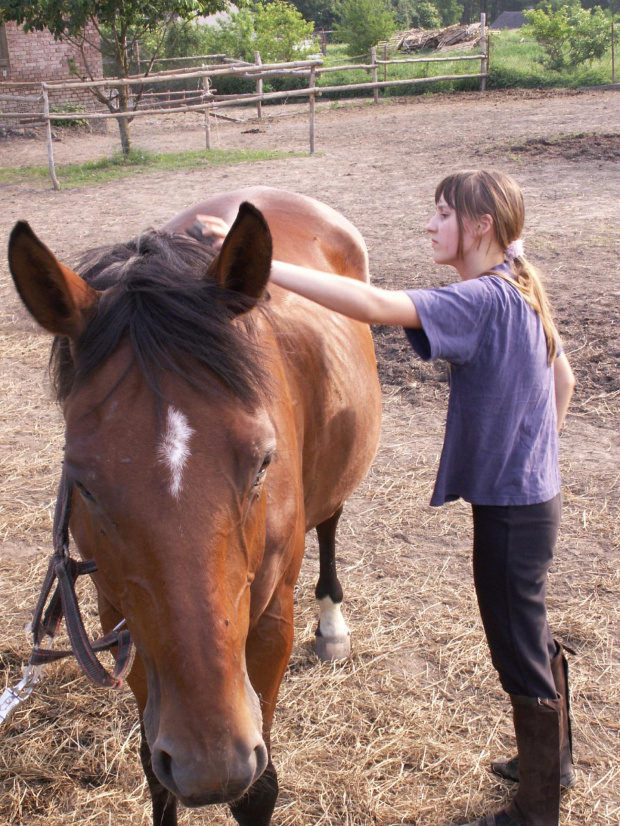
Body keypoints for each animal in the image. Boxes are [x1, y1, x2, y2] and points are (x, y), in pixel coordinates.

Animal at [7, 188, 380, 824]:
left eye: (263, 461)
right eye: (82, 482)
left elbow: (257, 790)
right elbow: (156, 777)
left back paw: (332, 625)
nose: (210, 764)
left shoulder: (269, 623)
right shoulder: (123, 619)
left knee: (329, 519)